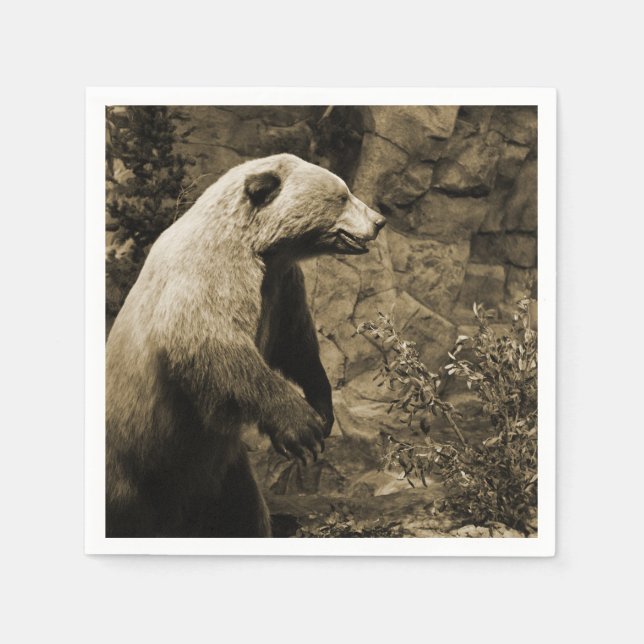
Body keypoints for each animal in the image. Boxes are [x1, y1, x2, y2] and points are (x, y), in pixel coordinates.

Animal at [106, 152, 386, 537]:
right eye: (342, 196)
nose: (379, 221)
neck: (261, 247)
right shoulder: (209, 272)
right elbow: (214, 342)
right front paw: (302, 428)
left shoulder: (282, 287)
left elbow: (296, 344)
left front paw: (323, 408)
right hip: (133, 464)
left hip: (220, 473)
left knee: (240, 514)